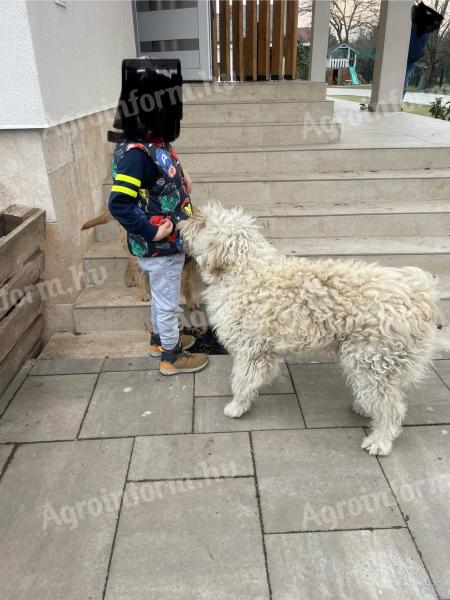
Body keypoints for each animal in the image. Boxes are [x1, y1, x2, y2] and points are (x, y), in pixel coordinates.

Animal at [178, 204, 440, 458]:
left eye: (203, 224)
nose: (181, 221)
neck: (244, 271)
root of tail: (420, 295)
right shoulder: (264, 349)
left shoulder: (250, 350)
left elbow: (242, 381)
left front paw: (237, 407)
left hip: (371, 358)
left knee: (392, 407)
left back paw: (380, 442)